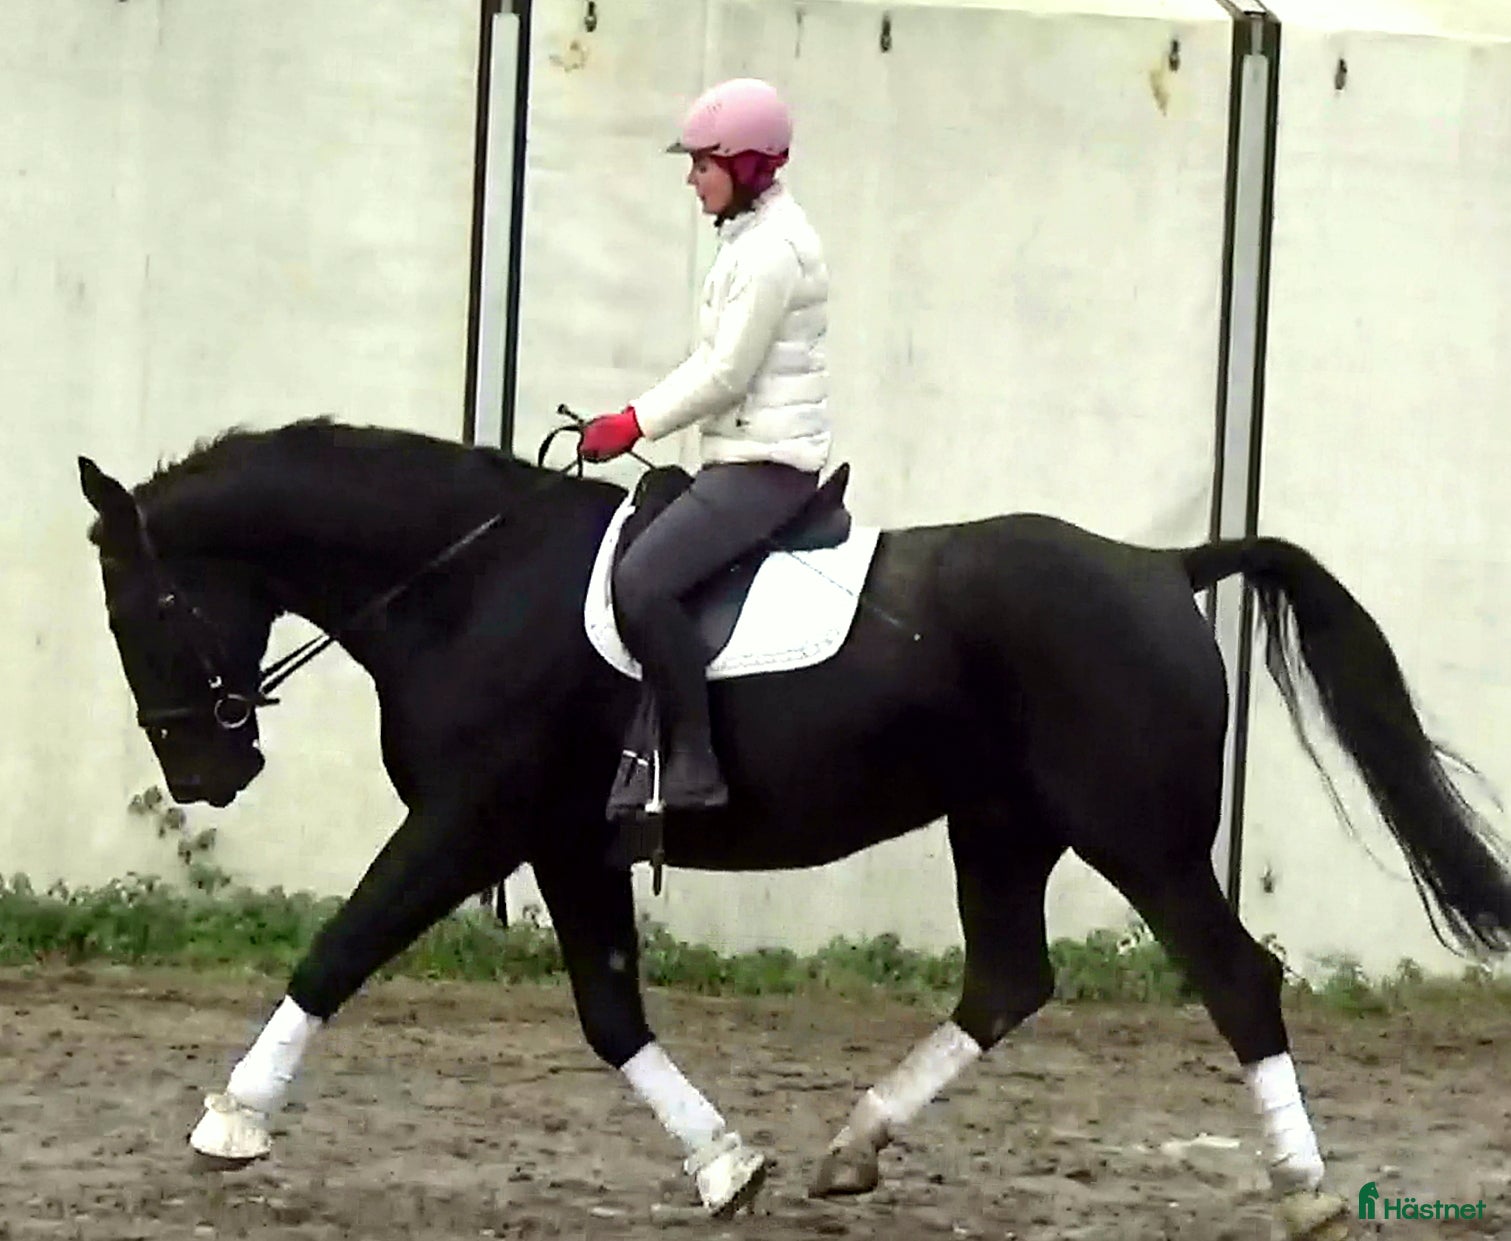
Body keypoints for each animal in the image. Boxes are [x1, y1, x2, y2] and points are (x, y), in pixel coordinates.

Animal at [77, 415, 1511, 1238]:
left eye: (142, 608)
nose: (206, 770)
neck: (469, 584)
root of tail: (1162, 566)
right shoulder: (567, 842)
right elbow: (609, 1014)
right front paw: (728, 1167)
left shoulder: (468, 819)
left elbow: (341, 948)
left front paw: (229, 1123)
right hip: (1001, 824)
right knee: (1006, 978)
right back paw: (850, 1148)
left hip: (1136, 837)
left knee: (1234, 978)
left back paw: (1305, 1189)